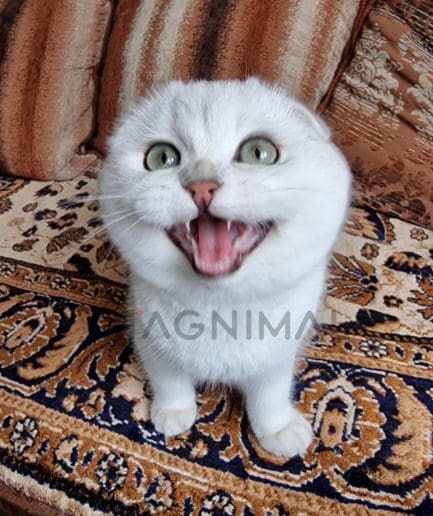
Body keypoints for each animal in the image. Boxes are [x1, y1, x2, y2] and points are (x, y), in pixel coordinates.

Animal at [100, 78, 351, 457]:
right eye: (161, 157)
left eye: (259, 153)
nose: (202, 186)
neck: (221, 311)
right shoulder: (150, 339)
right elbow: (170, 381)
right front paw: (173, 414)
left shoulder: (277, 357)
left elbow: (269, 397)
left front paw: (278, 431)